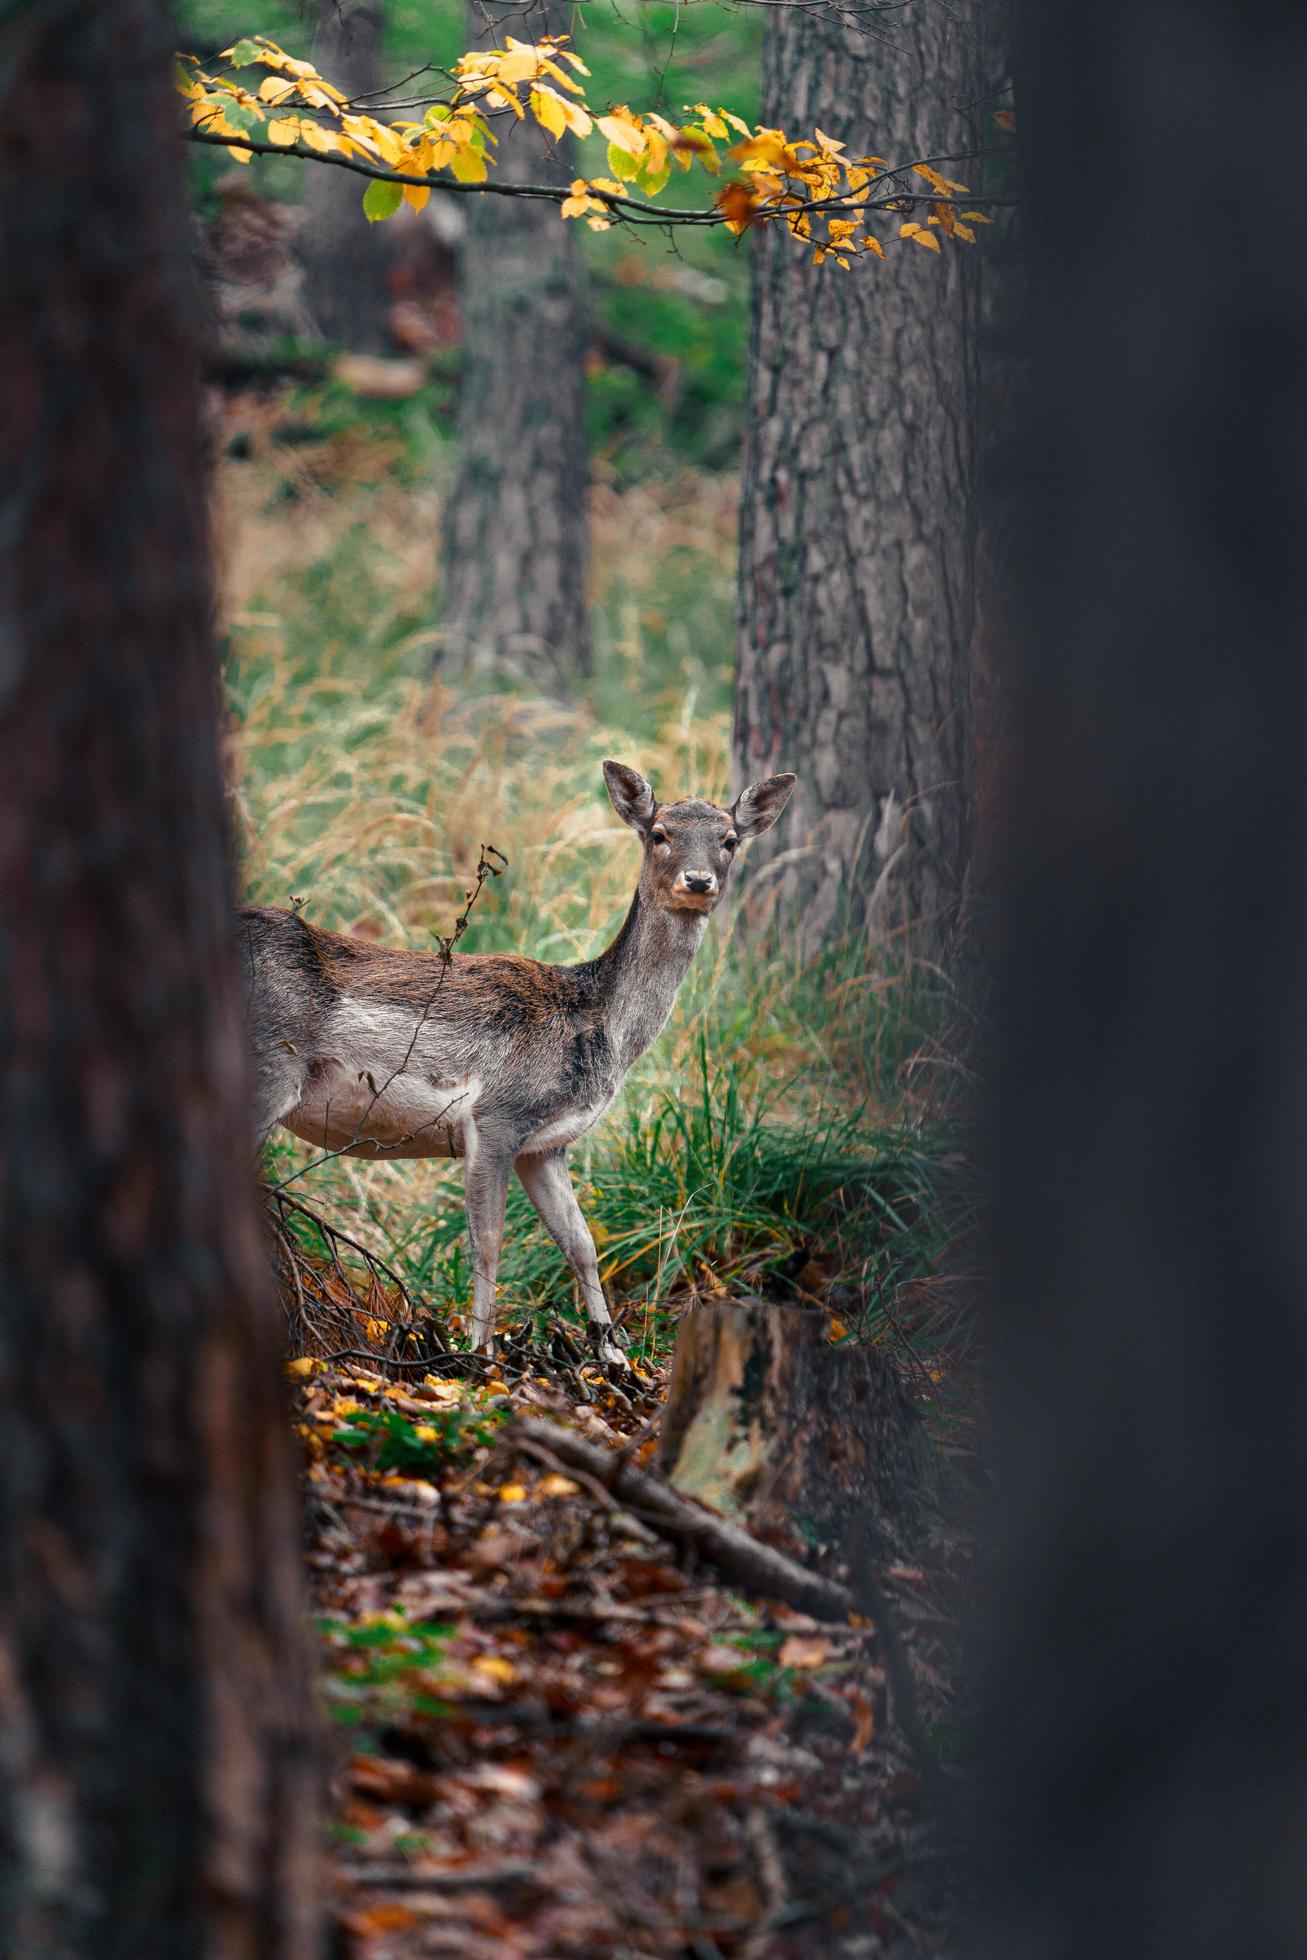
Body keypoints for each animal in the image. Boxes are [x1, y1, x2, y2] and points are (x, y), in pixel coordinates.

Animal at [243, 764, 799, 1364]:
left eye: (730, 840)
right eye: (659, 834)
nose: (699, 881)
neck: (600, 1028)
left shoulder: (546, 1145)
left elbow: (581, 1243)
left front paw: (613, 1355)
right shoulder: (497, 1115)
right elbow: (487, 1242)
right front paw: (478, 1356)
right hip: (269, 1070)